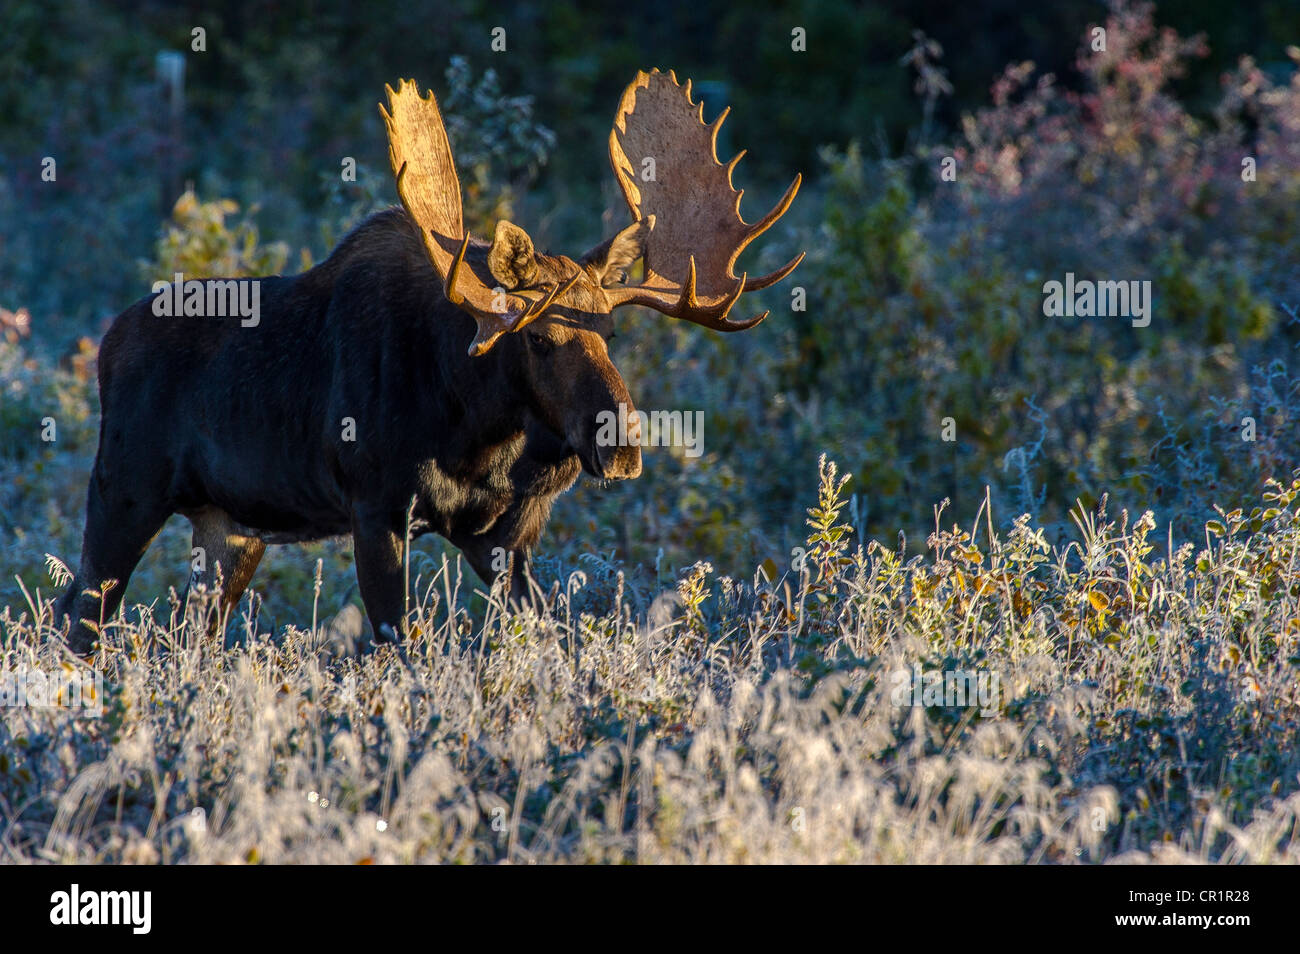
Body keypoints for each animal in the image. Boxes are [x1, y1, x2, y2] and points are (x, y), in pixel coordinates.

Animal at [53, 65, 800, 649]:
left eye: (611, 334)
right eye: (537, 336)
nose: (619, 444)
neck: (477, 431)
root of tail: (108, 342)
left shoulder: (503, 535)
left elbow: (549, 639)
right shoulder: (376, 507)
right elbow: (396, 643)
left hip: (232, 528)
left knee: (189, 630)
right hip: (125, 489)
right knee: (78, 615)